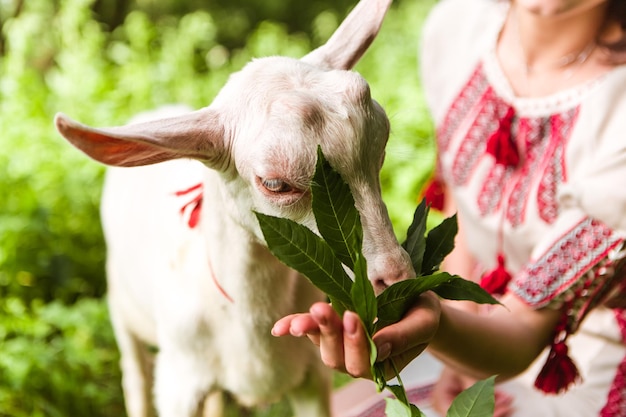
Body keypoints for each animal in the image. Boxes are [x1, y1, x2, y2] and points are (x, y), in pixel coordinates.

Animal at [54, 0, 414, 414]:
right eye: (275, 184)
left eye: (380, 148)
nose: (397, 278)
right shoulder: (178, 385)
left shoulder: (311, 377)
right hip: (121, 308)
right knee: (135, 376)